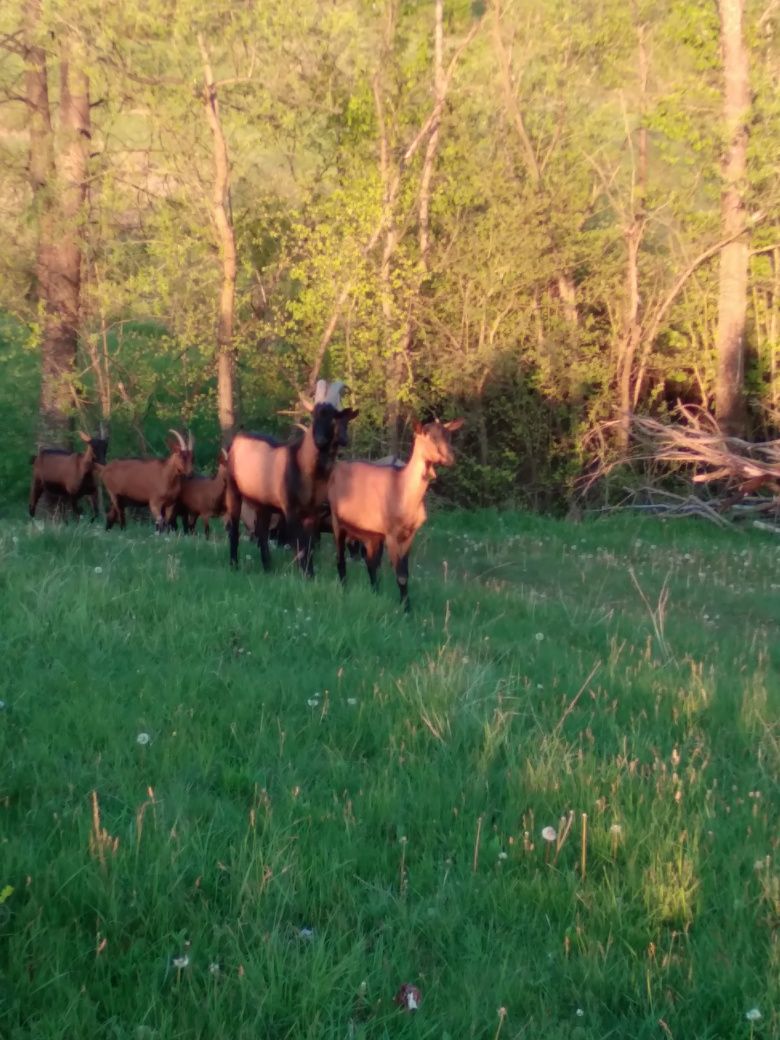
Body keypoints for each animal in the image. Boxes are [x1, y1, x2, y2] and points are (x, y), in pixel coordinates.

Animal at [225, 382, 359, 578]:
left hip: (263, 504)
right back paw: (234, 564)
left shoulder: (313, 512)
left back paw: (268, 568)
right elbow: (300, 546)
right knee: (234, 528)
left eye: (335, 416)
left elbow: (309, 547)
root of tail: (238, 439)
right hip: (233, 490)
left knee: (262, 532)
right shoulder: (290, 509)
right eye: (314, 415)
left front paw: (310, 576)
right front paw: (306, 576)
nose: (320, 440)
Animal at [324, 416, 461, 607]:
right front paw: (406, 608)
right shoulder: (391, 533)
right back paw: (345, 589)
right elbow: (401, 575)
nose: (450, 458)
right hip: (338, 521)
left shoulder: (409, 533)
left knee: (371, 562)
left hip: (371, 533)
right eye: (430, 437)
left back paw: (375, 592)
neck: (403, 491)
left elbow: (404, 573)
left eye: (449, 436)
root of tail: (337, 469)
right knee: (340, 558)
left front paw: (403, 604)